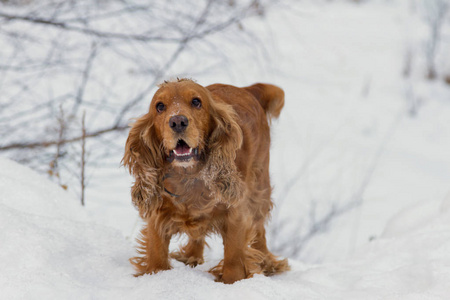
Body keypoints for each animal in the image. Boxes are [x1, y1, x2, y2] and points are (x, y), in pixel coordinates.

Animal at [122, 78, 288, 284]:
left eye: (196, 102)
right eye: (159, 106)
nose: (177, 121)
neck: (189, 176)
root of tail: (247, 89)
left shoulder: (236, 214)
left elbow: (234, 261)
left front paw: (232, 283)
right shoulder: (157, 213)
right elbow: (156, 255)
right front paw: (156, 276)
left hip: (259, 187)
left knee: (259, 230)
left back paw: (268, 264)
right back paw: (190, 257)